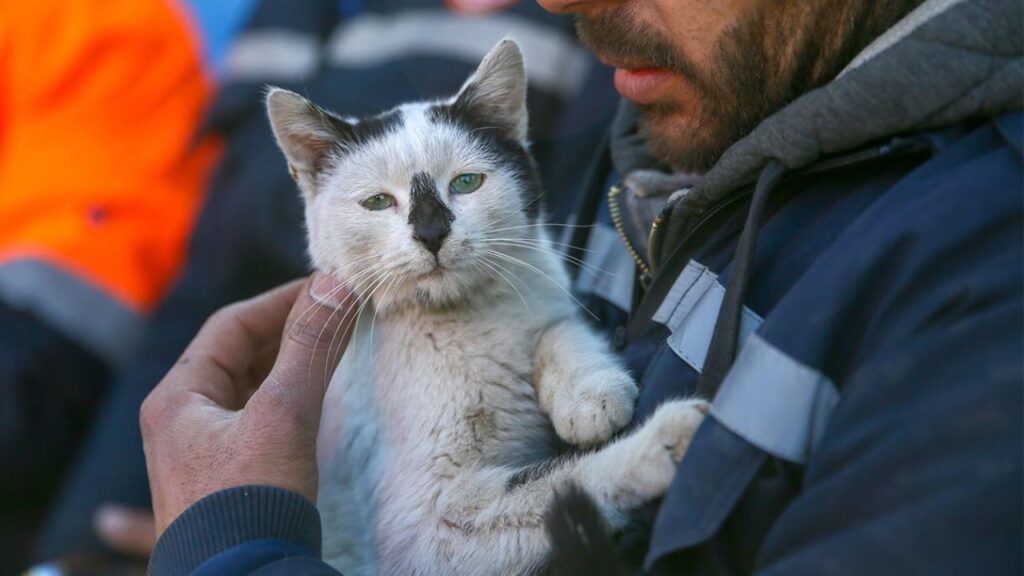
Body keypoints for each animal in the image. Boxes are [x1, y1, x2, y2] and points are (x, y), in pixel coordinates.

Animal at [268, 38, 708, 569]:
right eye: (377, 203)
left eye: (466, 183)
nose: (432, 232)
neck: (460, 321)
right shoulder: (428, 536)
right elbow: (554, 485)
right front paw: (663, 441)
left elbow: (557, 327)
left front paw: (589, 394)